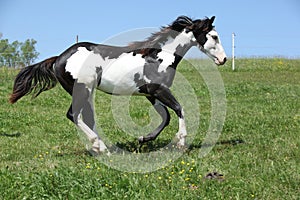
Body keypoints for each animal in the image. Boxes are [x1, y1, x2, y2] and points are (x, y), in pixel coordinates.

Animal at [9, 16, 226, 155]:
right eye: (214, 36)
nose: (223, 59)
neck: (159, 57)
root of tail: (58, 59)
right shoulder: (158, 90)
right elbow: (179, 109)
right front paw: (181, 141)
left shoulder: (150, 93)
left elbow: (165, 117)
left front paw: (144, 139)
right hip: (82, 90)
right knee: (73, 115)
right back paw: (101, 146)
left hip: (88, 93)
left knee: (87, 118)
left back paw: (101, 147)